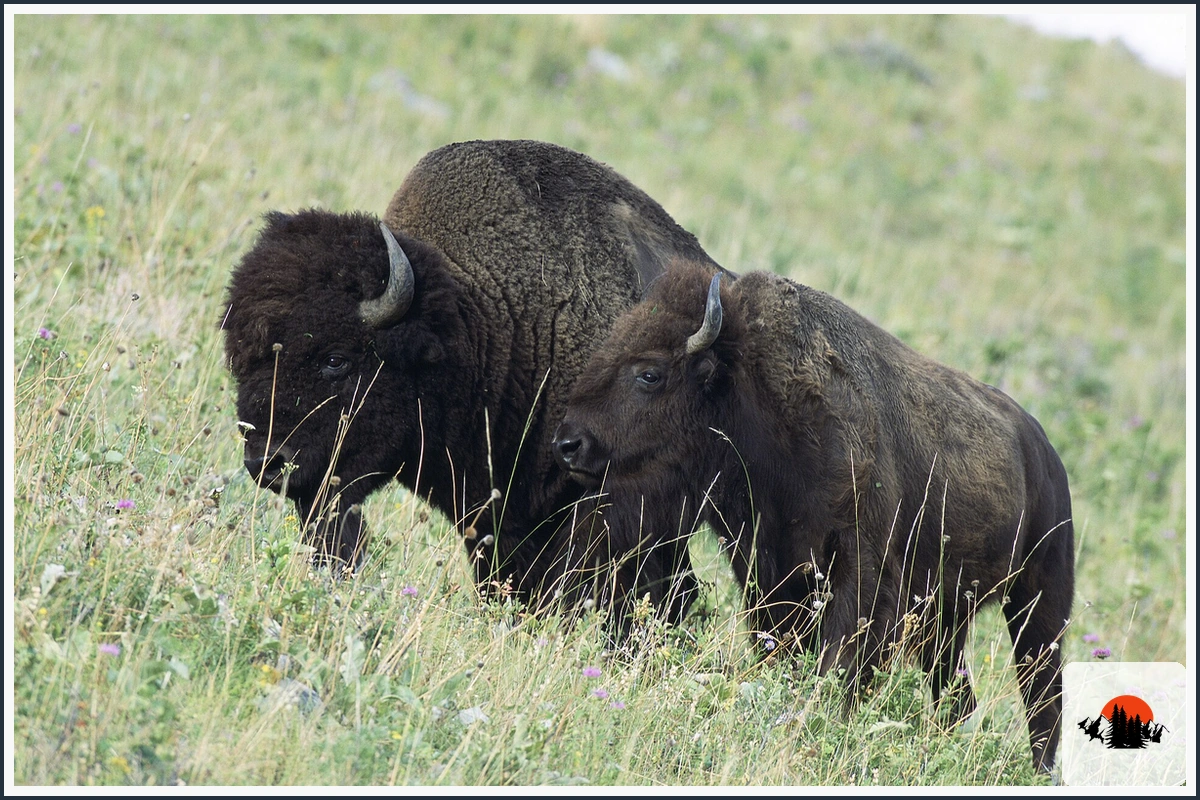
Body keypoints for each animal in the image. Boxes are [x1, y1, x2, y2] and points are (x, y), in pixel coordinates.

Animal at [554, 261, 1074, 773]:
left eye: (650, 373)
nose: (568, 444)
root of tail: (1045, 454)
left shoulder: (861, 573)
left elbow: (839, 664)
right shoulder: (768, 574)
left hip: (1038, 603)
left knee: (1042, 694)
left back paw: (1040, 769)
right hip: (947, 620)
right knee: (958, 695)